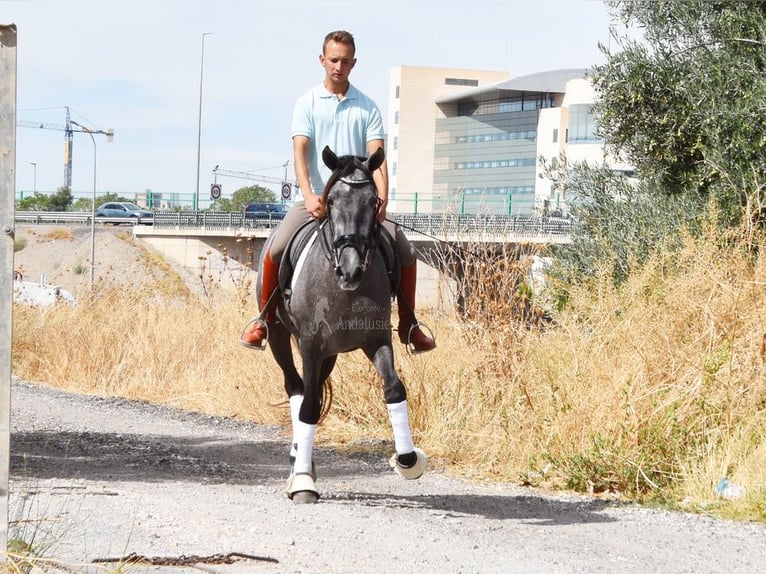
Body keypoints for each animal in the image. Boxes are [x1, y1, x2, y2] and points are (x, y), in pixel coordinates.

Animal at [255, 145, 426, 504]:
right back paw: (298, 458)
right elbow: (307, 406)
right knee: (296, 387)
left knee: (314, 388)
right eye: (331, 201)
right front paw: (303, 480)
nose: (350, 270)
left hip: (330, 354)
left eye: (374, 201)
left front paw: (407, 459)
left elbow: (394, 388)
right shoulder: (310, 345)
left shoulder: (376, 340)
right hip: (280, 337)